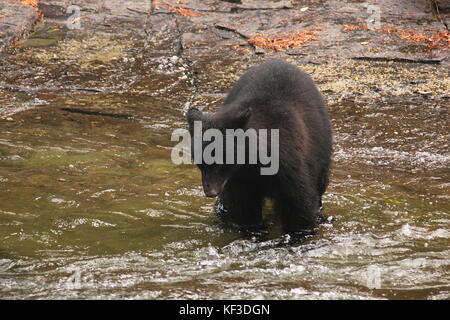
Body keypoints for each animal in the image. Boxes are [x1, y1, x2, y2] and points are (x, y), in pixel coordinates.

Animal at [185, 59, 330, 235]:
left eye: (221, 161)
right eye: (200, 163)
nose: (210, 192)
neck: (253, 162)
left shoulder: (288, 162)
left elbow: (298, 203)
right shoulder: (240, 179)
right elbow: (244, 210)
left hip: (321, 143)